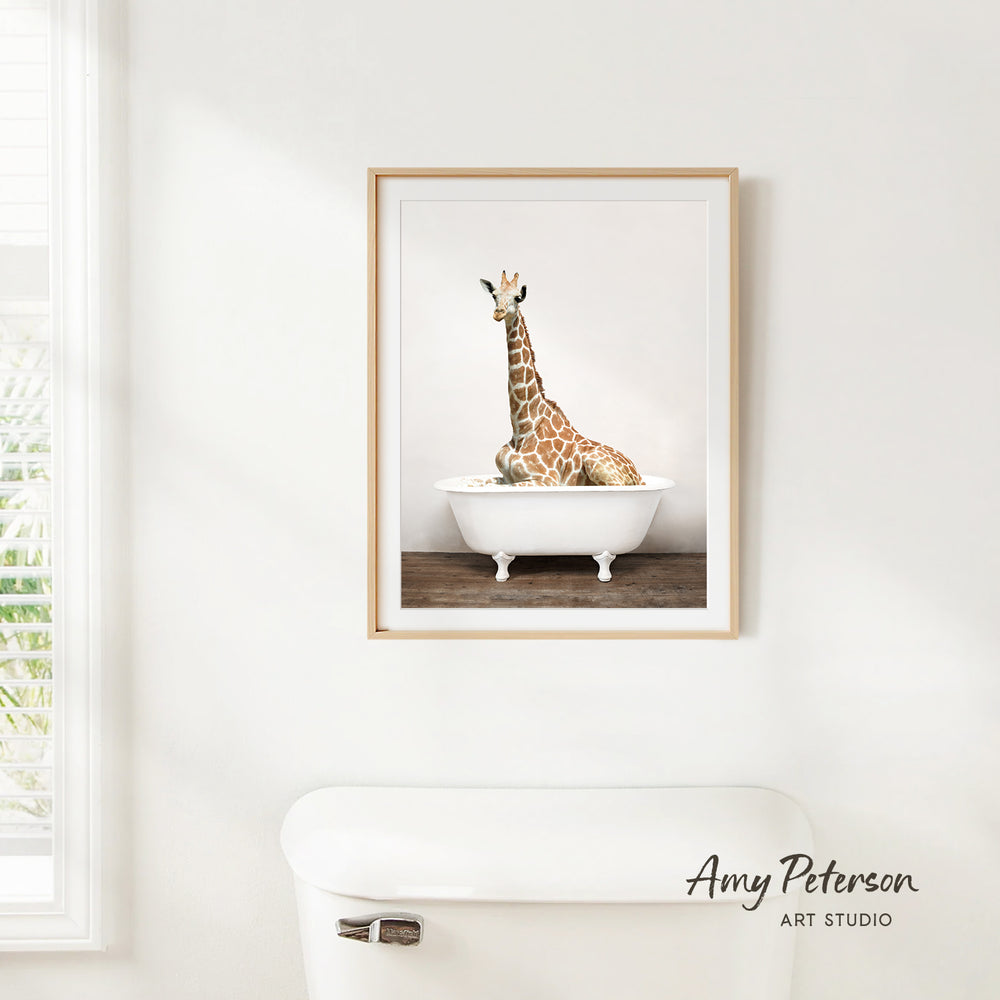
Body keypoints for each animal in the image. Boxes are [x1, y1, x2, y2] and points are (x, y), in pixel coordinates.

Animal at [479, 270, 642, 490]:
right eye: (494, 295)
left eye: (517, 297)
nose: (498, 313)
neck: (522, 426)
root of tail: (638, 474)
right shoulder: (505, 477)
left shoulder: (546, 480)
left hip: (598, 466)